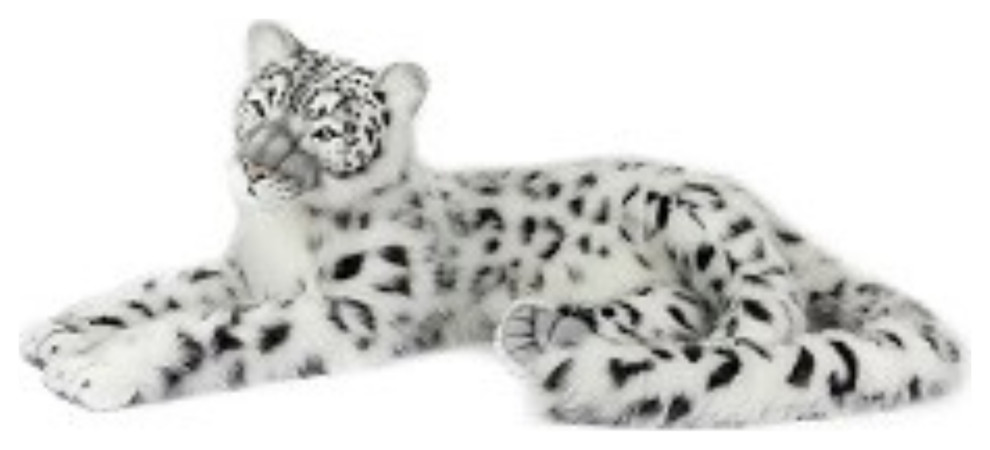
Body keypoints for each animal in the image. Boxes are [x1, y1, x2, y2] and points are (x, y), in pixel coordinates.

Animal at [20, 22, 965, 427]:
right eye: (261, 102)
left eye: (324, 128)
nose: (254, 168)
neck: (283, 234)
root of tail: (762, 203)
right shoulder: (242, 269)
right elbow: (162, 286)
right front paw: (56, 329)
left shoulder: (353, 307)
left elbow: (220, 329)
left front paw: (97, 367)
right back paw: (538, 326)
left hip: (690, 217)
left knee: (766, 313)